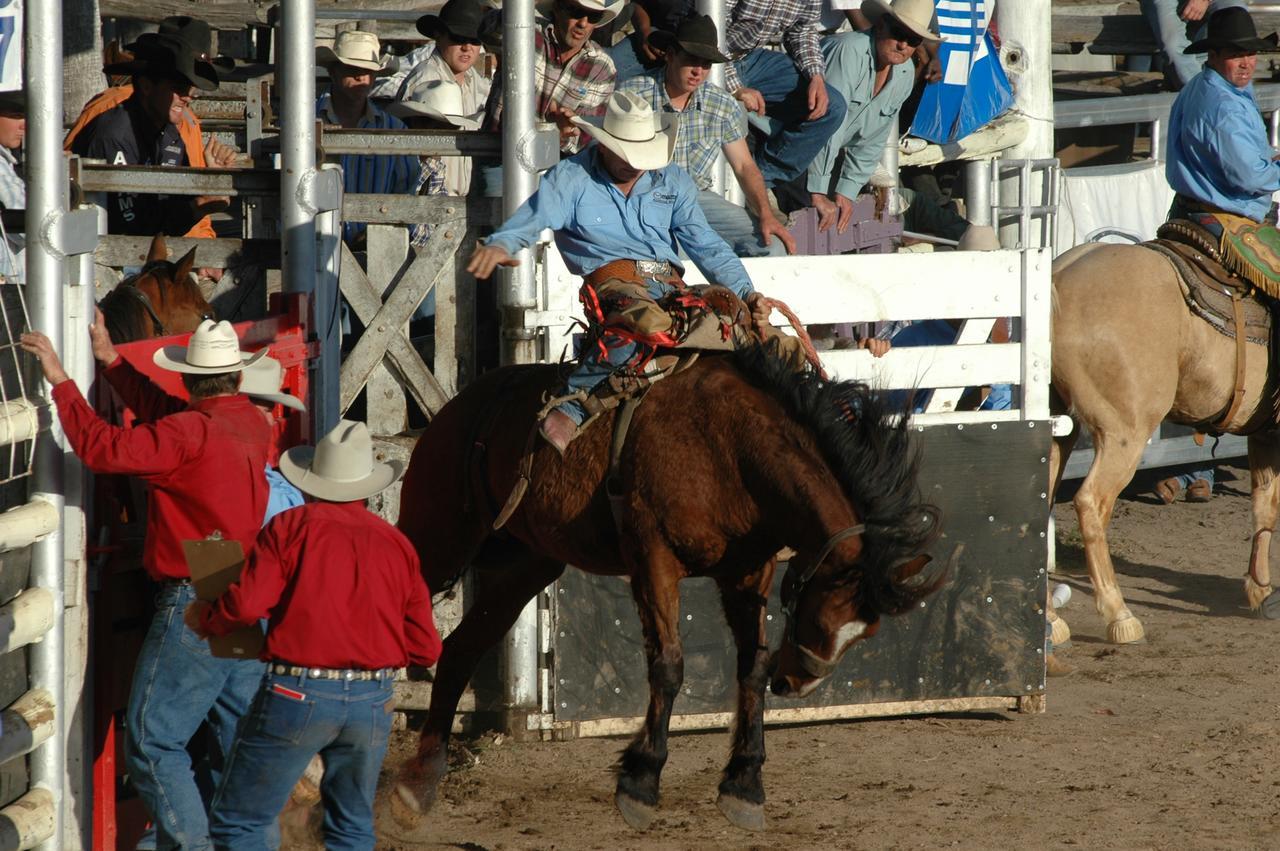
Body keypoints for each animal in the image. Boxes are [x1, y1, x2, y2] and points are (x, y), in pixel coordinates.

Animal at [386, 342, 942, 834]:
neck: (730, 449)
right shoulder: (654, 562)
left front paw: (744, 785)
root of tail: (460, 404)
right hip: (438, 536)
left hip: (527, 563)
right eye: (823, 618)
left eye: (866, 634)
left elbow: (752, 666)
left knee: (460, 650)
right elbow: (669, 666)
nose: (798, 683)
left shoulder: (747, 573)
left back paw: (418, 785)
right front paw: (641, 779)